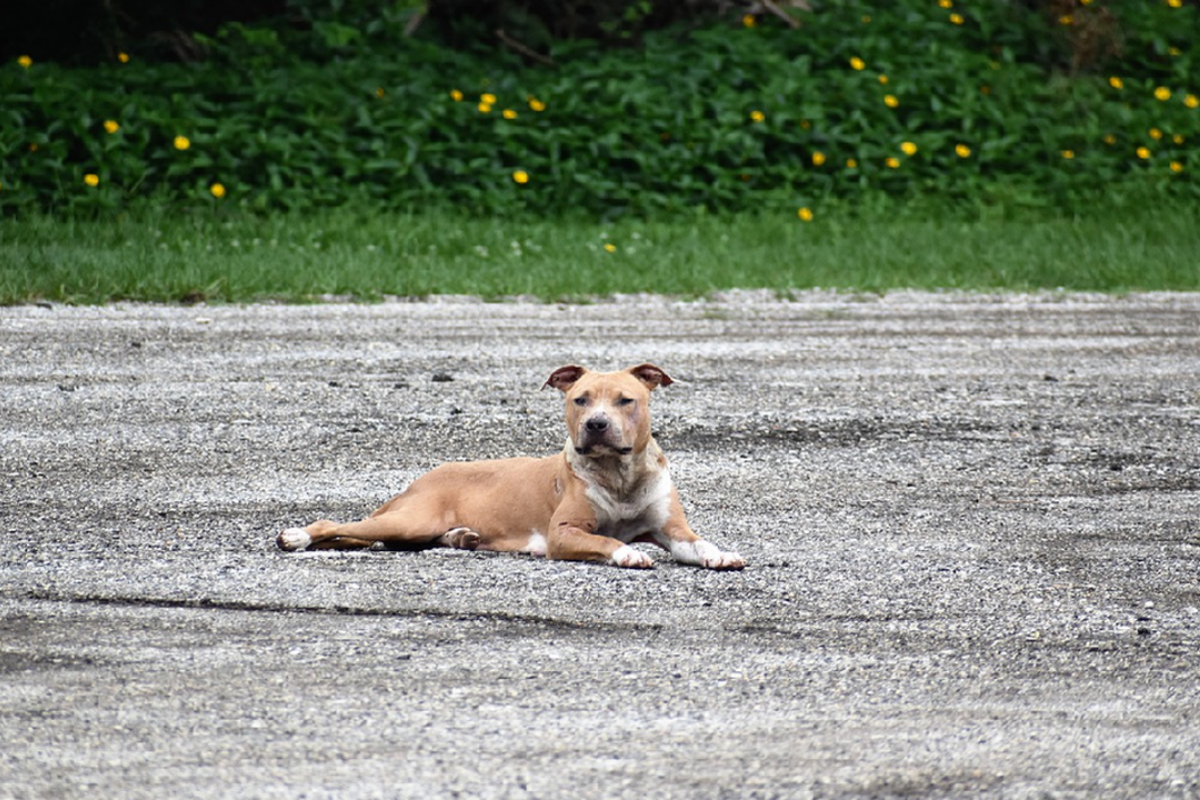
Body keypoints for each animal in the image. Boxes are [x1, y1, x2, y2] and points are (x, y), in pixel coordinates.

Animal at [277, 362, 744, 568]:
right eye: (581, 399)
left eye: (626, 400)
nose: (596, 425)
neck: (619, 475)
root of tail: (417, 481)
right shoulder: (563, 533)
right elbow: (606, 540)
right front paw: (627, 552)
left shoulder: (672, 530)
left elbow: (699, 543)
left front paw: (720, 554)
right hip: (409, 519)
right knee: (339, 527)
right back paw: (296, 536)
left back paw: (461, 537)